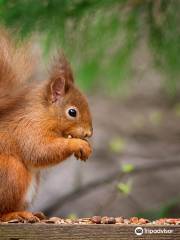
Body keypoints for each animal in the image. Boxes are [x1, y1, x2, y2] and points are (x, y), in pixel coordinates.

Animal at [0, 29, 93, 221]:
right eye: (72, 112)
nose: (89, 133)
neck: (43, 114)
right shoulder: (28, 128)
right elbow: (40, 150)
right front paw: (78, 144)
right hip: (10, 171)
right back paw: (16, 214)